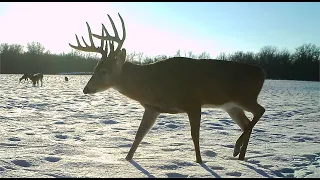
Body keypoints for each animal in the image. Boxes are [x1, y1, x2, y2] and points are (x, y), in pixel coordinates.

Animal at [69, 13, 264, 163]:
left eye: (104, 71)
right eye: (94, 68)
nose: (86, 89)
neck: (152, 84)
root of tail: (262, 72)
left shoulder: (193, 102)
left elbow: (194, 136)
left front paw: (199, 162)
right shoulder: (152, 108)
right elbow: (139, 134)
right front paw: (127, 159)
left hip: (245, 97)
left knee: (260, 111)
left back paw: (236, 149)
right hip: (231, 106)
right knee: (246, 123)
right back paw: (241, 156)